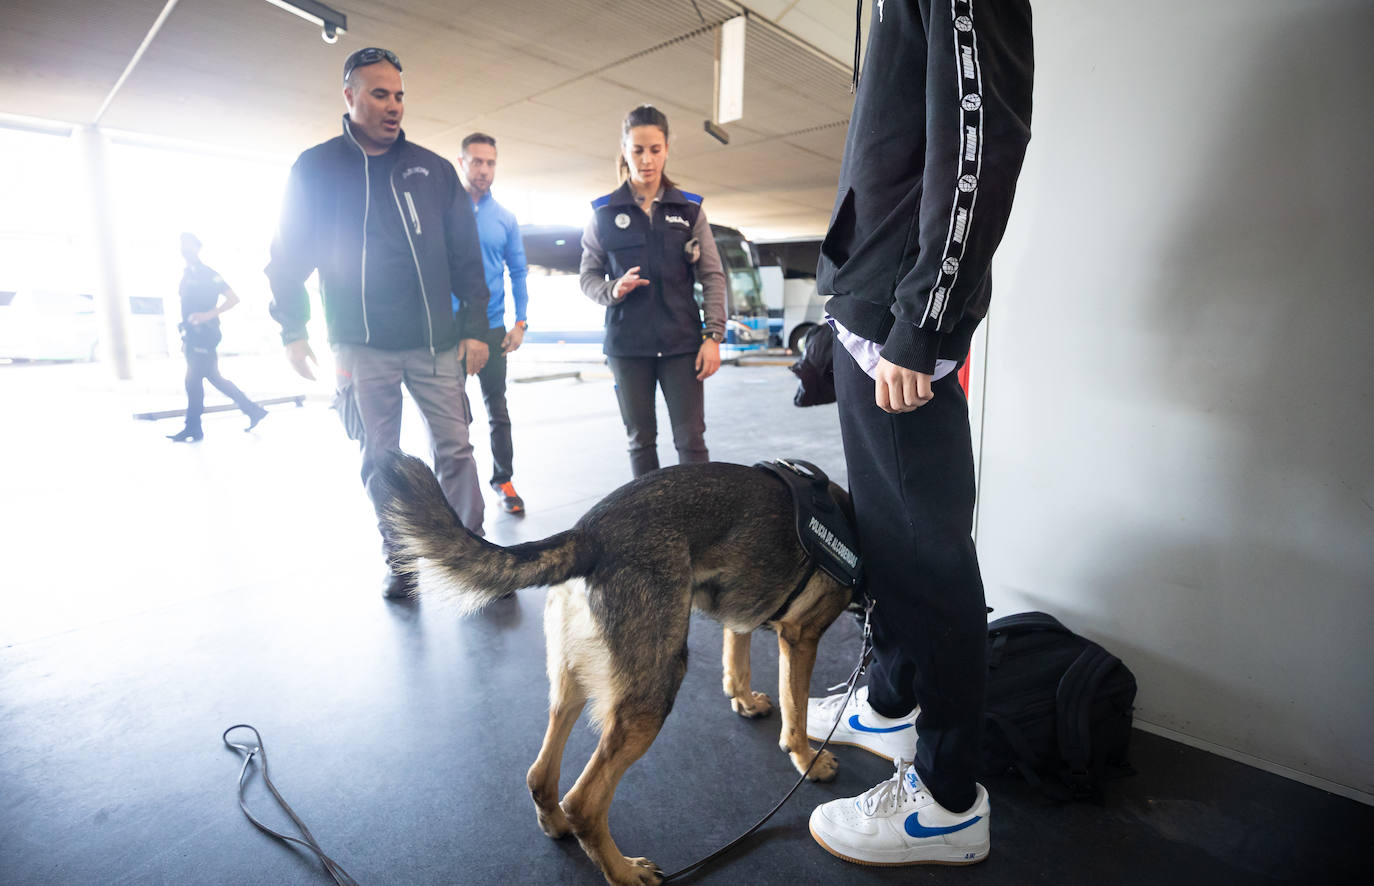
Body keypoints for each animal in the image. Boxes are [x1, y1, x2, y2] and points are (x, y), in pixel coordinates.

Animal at [370, 453, 851, 879]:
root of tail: (589, 534)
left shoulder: (742, 615)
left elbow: (737, 657)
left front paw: (744, 700)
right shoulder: (802, 638)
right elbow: (796, 708)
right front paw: (807, 758)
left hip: (574, 685)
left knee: (541, 775)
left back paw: (555, 823)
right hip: (654, 692)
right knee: (584, 803)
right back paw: (624, 871)